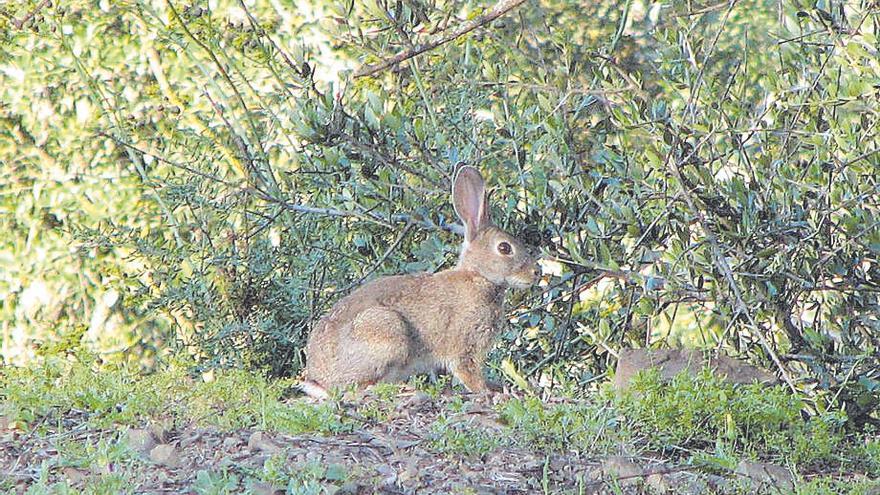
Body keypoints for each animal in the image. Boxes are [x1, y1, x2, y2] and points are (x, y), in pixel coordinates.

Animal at [300, 167, 540, 400]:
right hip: (386, 331)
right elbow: (468, 372)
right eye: (504, 248)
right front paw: (487, 391)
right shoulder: (464, 345)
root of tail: (319, 380)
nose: (536, 272)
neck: (479, 277)